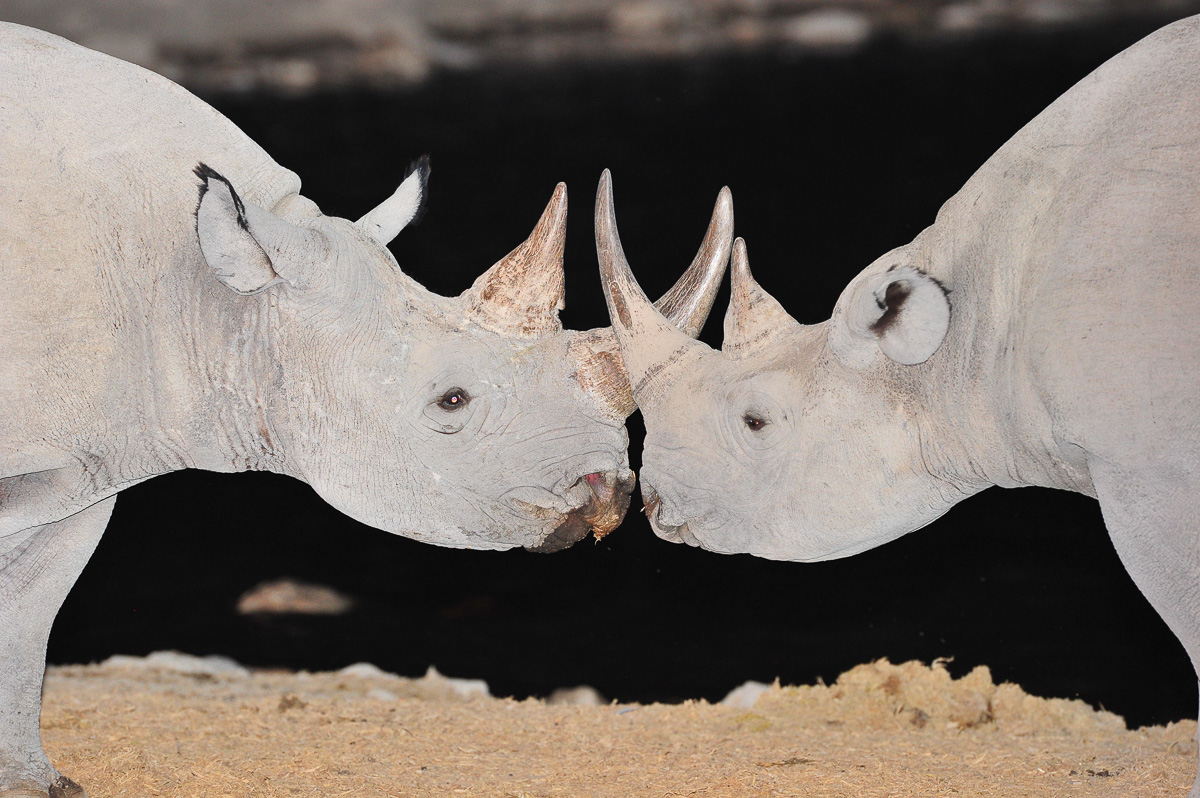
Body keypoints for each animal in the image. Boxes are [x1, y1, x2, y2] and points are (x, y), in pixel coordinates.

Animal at [0, 23, 733, 797]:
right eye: (451, 401)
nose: (611, 494)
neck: (218, 299)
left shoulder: (89, 458)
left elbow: (32, 611)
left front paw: (35, 783)